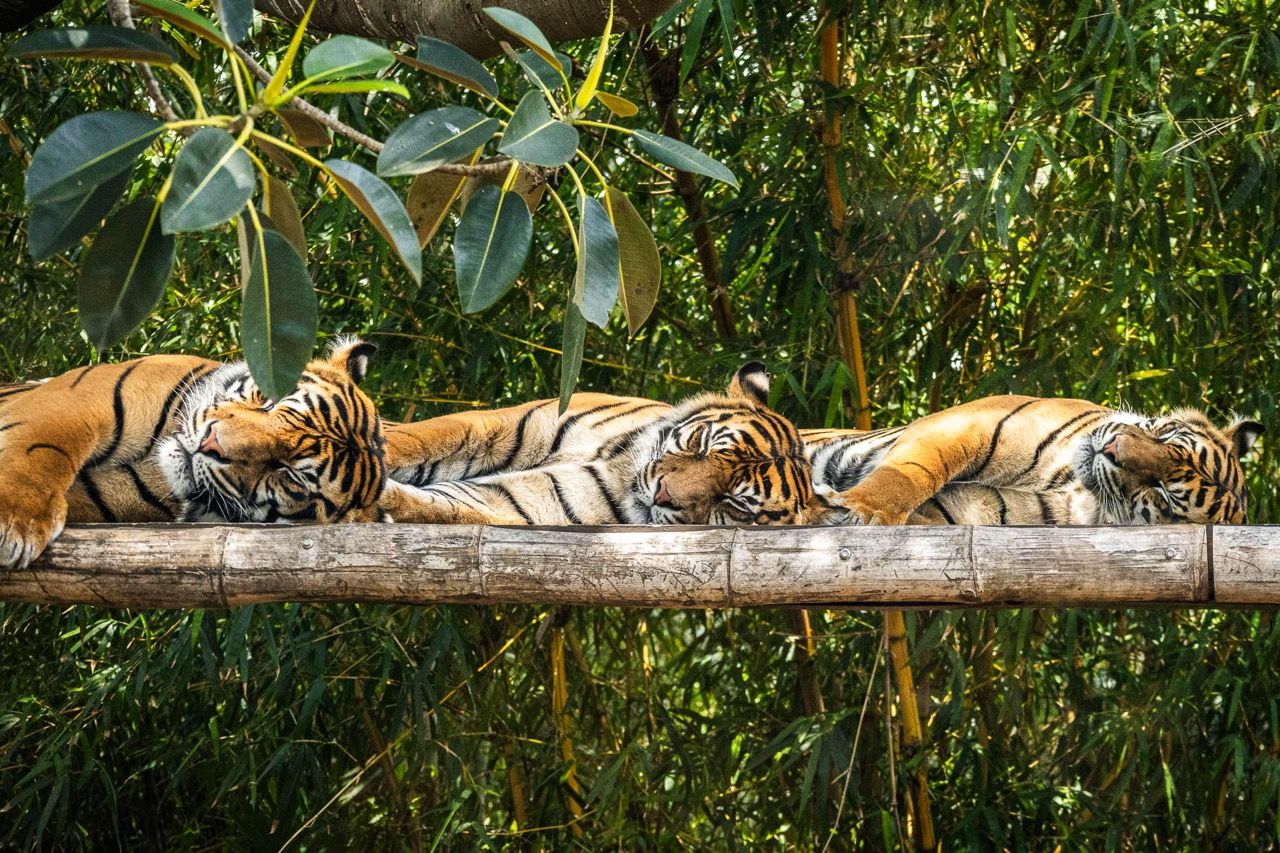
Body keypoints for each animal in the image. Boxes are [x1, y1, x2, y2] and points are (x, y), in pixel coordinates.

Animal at [0, 338, 386, 569]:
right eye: (269, 402)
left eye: (289, 473)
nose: (211, 443)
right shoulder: (78, 399)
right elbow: (43, 445)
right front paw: (15, 522)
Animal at [378, 363, 846, 527]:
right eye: (700, 445)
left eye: (732, 504)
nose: (662, 495)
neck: (619, 462)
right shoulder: (506, 423)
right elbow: (408, 440)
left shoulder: (533, 499)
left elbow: (453, 502)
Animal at [803, 395, 1263, 526]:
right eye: (1166, 435)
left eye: (1163, 493)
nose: (1110, 450)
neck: (1073, 485)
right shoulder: (966, 424)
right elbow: (910, 473)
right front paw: (862, 509)